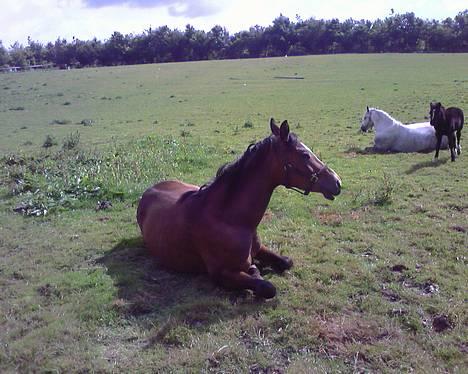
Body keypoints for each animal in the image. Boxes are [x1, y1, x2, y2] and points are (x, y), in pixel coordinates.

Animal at [137, 118, 342, 300]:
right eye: (304, 154)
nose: (337, 182)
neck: (230, 219)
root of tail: (150, 189)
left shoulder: (259, 249)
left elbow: (286, 262)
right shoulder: (221, 273)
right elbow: (267, 287)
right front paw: (257, 273)